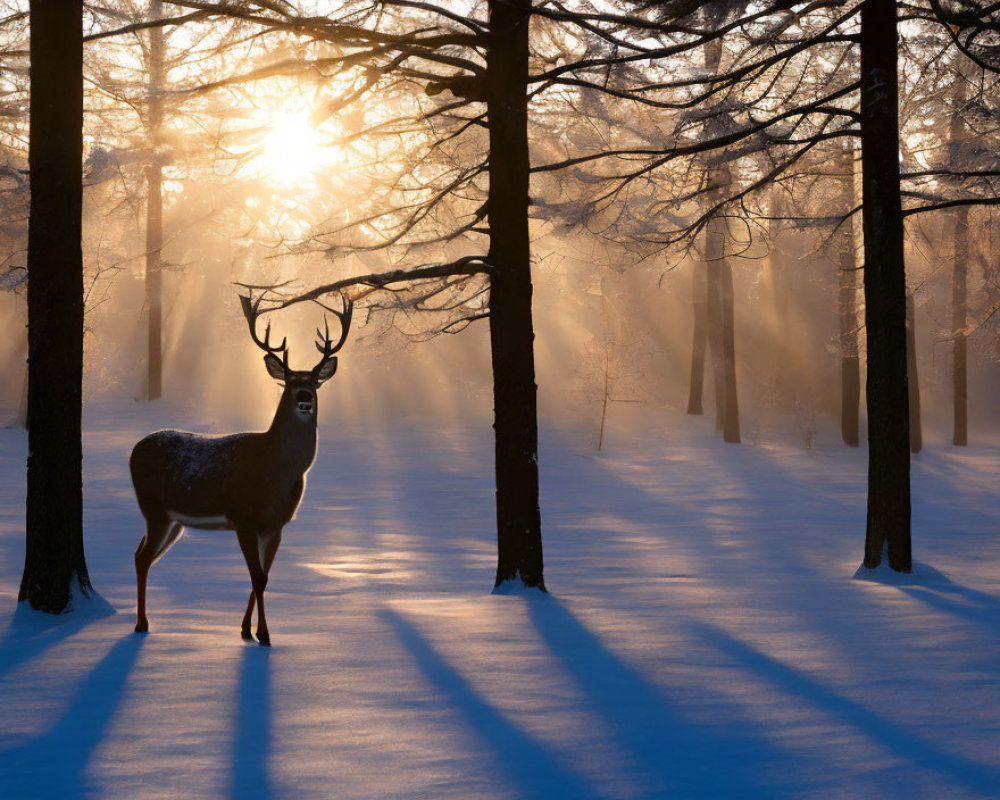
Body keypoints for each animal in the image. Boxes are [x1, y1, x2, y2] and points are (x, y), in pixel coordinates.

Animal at [130, 292, 352, 644]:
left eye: (315, 382)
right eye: (289, 383)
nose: (304, 398)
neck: (276, 471)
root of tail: (134, 449)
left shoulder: (275, 525)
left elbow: (263, 576)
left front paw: (246, 629)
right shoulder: (243, 516)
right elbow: (257, 577)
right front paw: (264, 634)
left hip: (173, 521)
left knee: (142, 554)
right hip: (154, 510)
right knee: (141, 557)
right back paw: (141, 623)